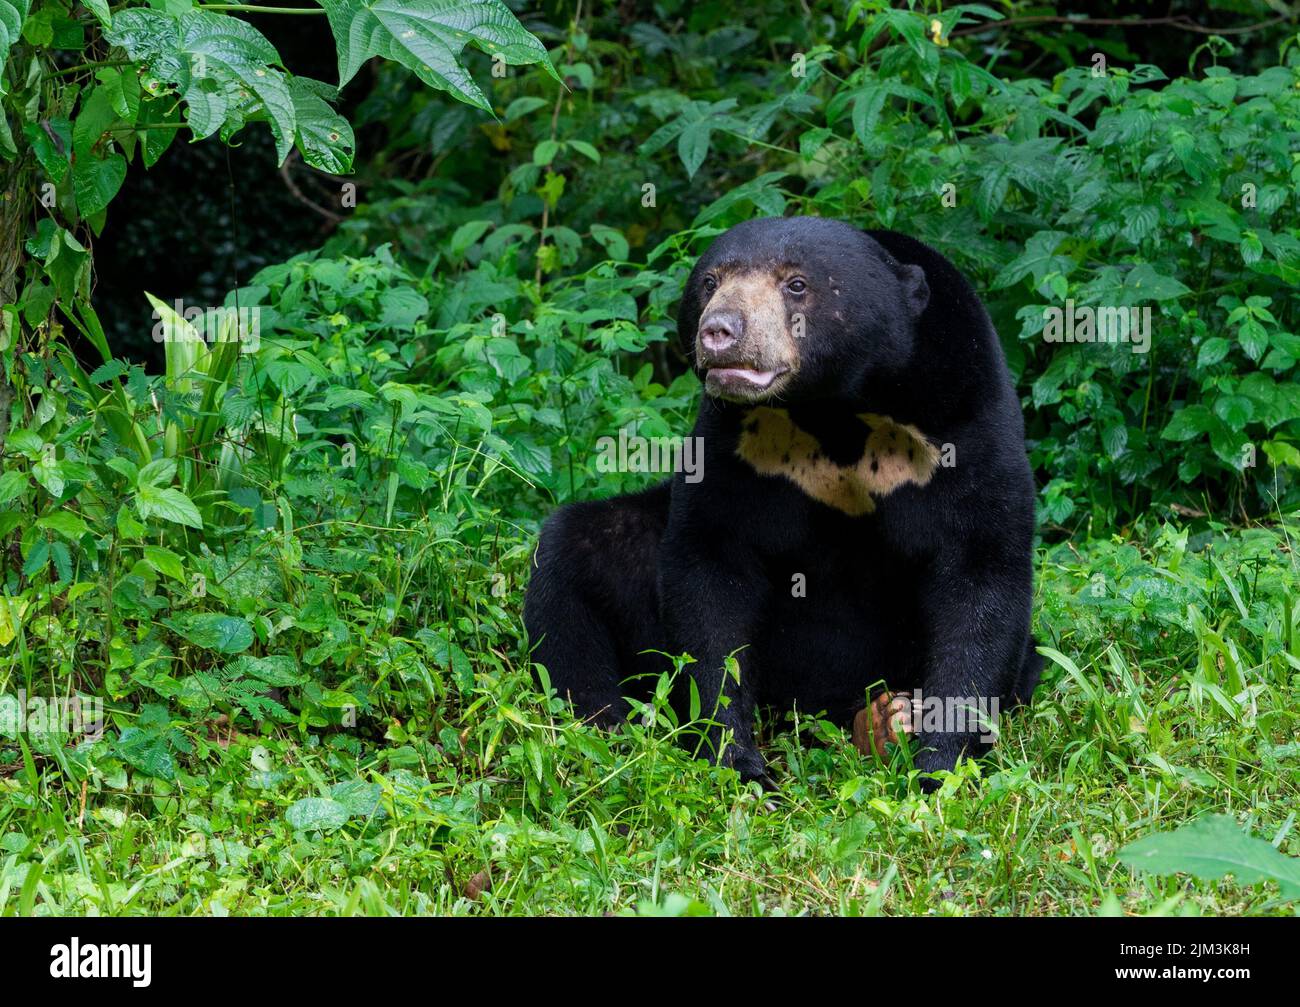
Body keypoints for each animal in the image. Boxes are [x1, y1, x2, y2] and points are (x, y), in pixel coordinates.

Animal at [523, 216, 1040, 788]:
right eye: (710, 282)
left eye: (796, 284)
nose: (720, 331)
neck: (833, 408)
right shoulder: (733, 437)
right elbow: (710, 571)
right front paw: (739, 765)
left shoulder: (962, 417)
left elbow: (980, 573)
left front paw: (936, 767)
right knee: (575, 560)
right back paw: (603, 729)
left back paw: (886, 722)